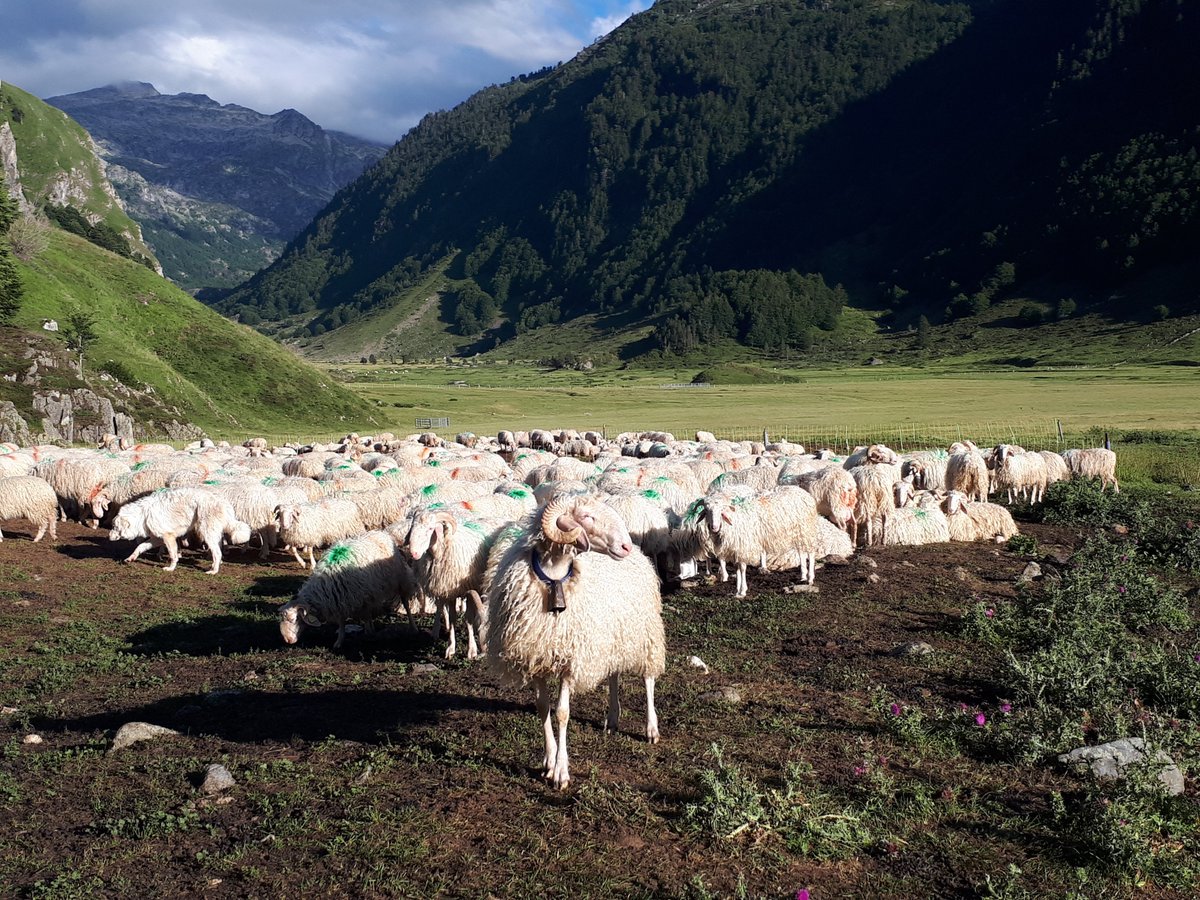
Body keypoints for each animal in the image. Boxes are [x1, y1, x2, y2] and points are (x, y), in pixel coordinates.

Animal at [111, 489, 254, 573]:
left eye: (114, 527)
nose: (110, 537)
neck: (142, 515)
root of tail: (225, 503)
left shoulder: (168, 537)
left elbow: (173, 555)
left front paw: (170, 568)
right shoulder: (157, 539)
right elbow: (140, 546)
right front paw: (131, 558)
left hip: (206, 534)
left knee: (217, 553)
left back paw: (213, 571)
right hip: (213, 534)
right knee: (218, 552)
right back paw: (215, 565)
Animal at [278, 528, 420, 648]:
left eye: (294, 619)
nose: (288, 641)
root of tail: (380, 533)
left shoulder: (358, 595)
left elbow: (361, 616)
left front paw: (366, 633)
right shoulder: (340, 598)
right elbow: (342, 622)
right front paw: (339, 641)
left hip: (400, 580)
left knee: (405, 602)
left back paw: (413, 627)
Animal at [484, 494, 667, 787]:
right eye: (586, 517)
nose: (625, 546)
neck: (555, 578)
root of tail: (641, 554)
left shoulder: (570, 659)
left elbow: (562, 713)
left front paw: (561, 771)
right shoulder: (536, 655)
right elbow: (543, 707)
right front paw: (548, 760)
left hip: (643, 632)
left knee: (648, 677)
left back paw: (651, 727)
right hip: (612, 637)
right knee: (613, 674)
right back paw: (612, 719)